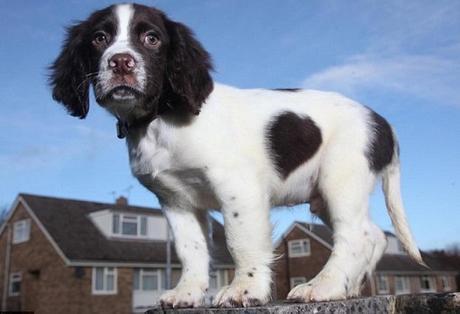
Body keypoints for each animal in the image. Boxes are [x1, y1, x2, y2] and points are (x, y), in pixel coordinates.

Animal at [49, 1, 424, 306]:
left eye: (152, 38)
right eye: (99, 38)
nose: (121, 62)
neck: (160, 120)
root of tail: (383, 123)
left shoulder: (238, 188)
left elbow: (239, 240)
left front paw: (245, 290)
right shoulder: (176, 201)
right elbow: (191, 249)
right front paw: (188, 293)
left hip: (340, 178)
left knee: (355, 236)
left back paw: (323, 286)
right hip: (325, 195)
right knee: (373, 235)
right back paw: (346, 287)